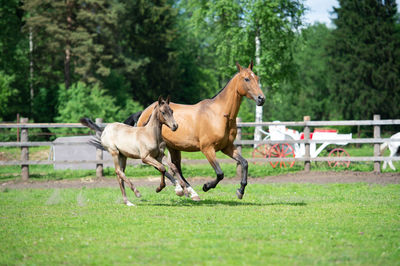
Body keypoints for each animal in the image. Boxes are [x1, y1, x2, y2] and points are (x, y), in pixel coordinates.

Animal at [130, 61, 264, 200]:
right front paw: (206, 186)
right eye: (246, 79)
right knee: (161, 166)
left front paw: (240, 191)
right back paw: (179, 189)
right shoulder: (207, 149)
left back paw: (191, 192)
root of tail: (143, 113)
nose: (261, 99)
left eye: (257, 78)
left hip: (174, 147)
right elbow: (220, 173)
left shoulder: (227, 147)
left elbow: (244, 163)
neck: (219, 114)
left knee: (175, 167)